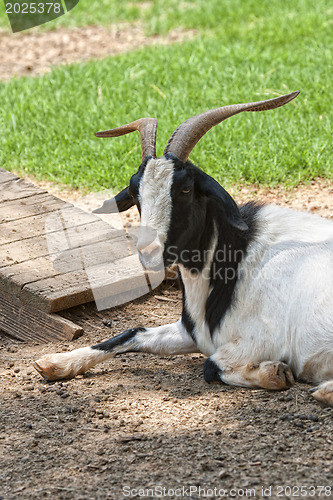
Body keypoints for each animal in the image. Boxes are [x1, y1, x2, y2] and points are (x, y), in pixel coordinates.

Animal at [33, 93, 332, 406]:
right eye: (135, 193)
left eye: (186, 190)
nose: (148, 252)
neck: (239, 258)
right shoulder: (190, 333)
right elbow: (132, 332)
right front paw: (56, 362)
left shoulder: (261, 339)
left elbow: (210, 366)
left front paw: (274, 373)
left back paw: (325, 390)